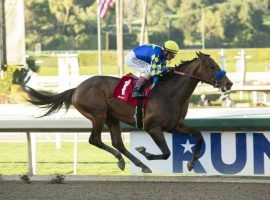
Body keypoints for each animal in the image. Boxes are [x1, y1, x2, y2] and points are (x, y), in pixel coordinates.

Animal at [24, 52, 233, 173]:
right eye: (212, 66)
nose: (229, 83)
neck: (169, 92)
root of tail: (77, 88)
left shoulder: (175, 126)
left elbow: (198, 136)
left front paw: (191, 163)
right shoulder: (152, 127)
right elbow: (166, 153)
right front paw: (145, 152)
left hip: (112, 118)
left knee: (118, 143)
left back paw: (138, 164)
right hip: (98, 115)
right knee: (95, 139)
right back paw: (127, 161)